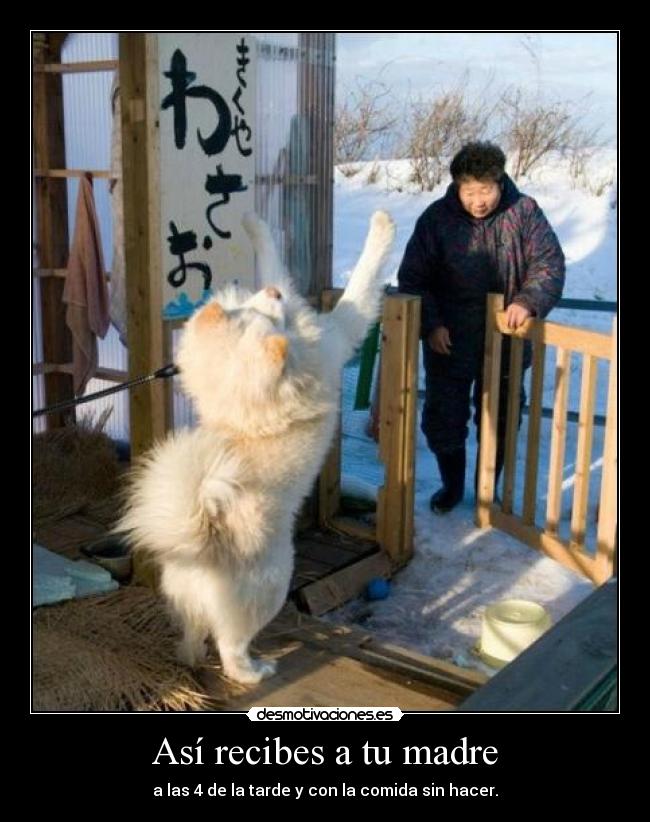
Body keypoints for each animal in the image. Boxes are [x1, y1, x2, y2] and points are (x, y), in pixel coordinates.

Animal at [115, 209, 394, 684]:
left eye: (251, 309)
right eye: (266, 322)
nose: (275, 295)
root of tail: (203, 538)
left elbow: (272, 258)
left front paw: (250, 221)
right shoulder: (339, 331)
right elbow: (362, 280)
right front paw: (382, 226)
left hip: (186, 601)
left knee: (193, 637)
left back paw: (190, 658)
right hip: (273, 584)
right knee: (230, 648)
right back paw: (255, 671)